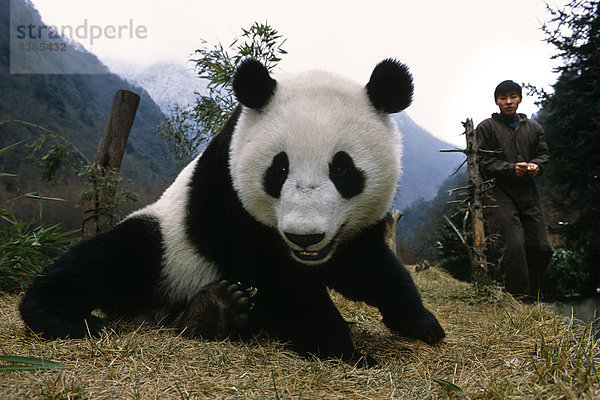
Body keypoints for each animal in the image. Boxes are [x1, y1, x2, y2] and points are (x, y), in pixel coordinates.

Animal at [19, 58, 446, 362]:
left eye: (342, 169)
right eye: (279, 169)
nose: (304, 236)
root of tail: (154, 311)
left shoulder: (352, 230)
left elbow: (370, 267)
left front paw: (423, 324)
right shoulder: (230, 196)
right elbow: (282, 281)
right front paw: (348, 353)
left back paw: (213, 311)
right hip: (166, 242)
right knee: (111, 258)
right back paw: (60, 315)